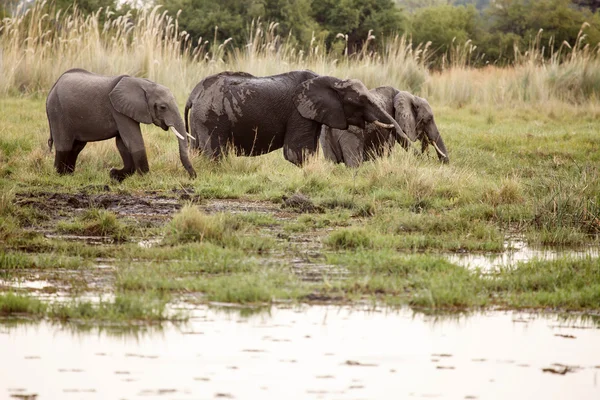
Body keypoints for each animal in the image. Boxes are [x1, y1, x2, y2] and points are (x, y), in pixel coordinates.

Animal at [47, 69, 197, 181]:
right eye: (163, 107)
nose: (192, 177)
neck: (143, 83)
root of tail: (53, 87)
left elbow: (122, 143)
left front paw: (114, 175)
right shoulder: (118, 110)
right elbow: (134, 141)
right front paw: (145, 178)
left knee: (76, 147)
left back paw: (69, 174)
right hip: (57, 112)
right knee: (64, 144)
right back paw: (60, 175)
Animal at [184, 69, 412, 165]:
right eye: (359, 100)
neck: (333, 80)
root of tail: (193, 94)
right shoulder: (299, 113)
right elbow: (297, 153)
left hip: (200, 119)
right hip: (211, 117)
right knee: (215, 154)